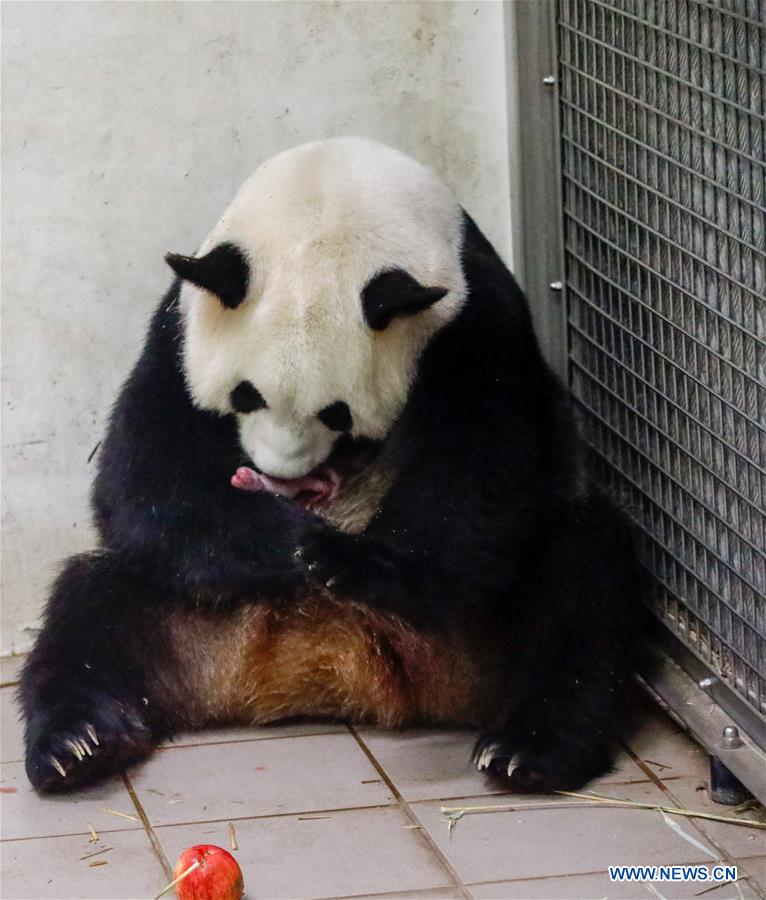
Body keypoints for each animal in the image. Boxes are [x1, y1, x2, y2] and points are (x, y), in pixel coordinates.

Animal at [20, 137, 642, 795]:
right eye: (245, 396)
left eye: (337, 414)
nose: (285, 477)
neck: (332, 186)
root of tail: (328, 669)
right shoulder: (180, 327)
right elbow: (145, 472)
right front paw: (291, 544)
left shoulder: (472, 320)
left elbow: (484, 467)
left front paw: (345, 559)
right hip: (184, 603)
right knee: (92, 607)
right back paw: (78, 744)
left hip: (490, 618)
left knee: (579, 586)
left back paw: (530, 748)